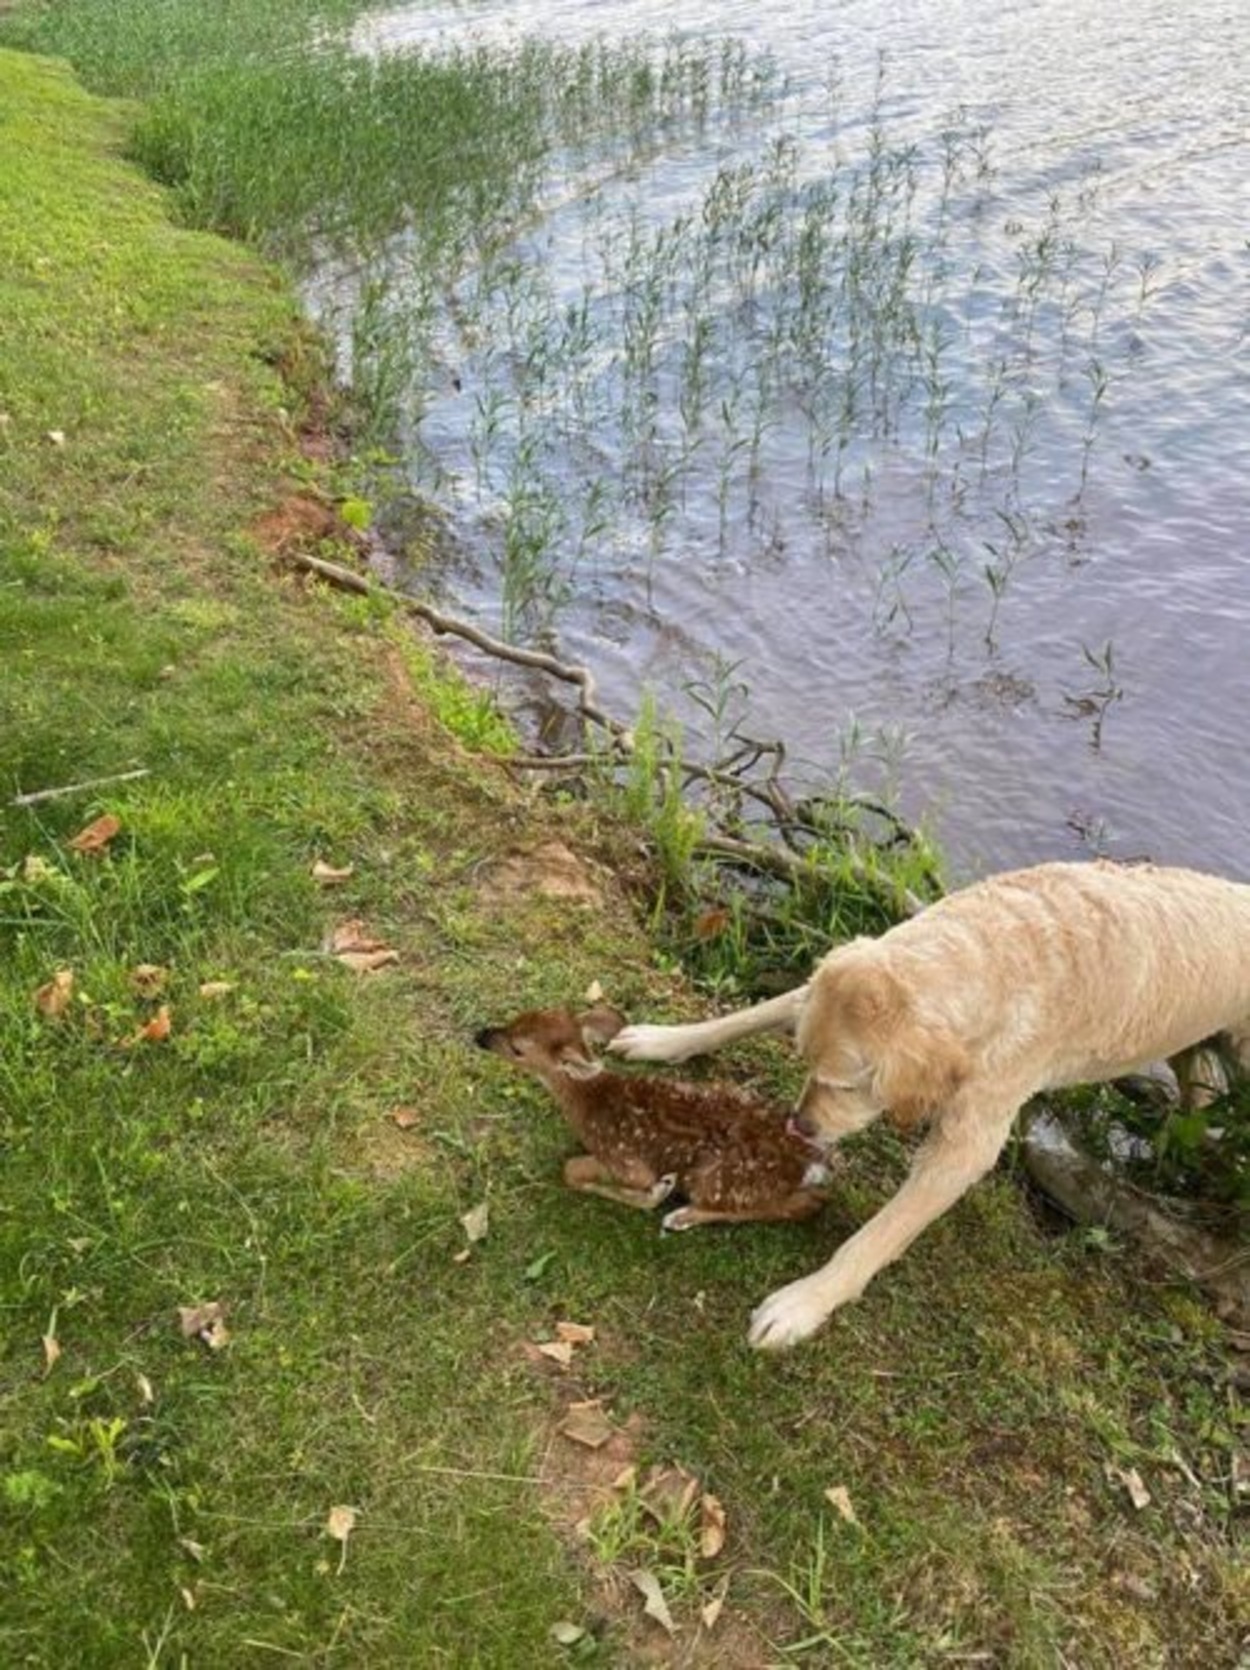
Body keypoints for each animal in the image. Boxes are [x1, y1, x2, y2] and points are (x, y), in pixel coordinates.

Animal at [610, 868, 1248, 1349]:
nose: (800, 1125)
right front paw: (662, 1039)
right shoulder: (824, 984)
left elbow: (877, 1236)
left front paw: (802, 1304)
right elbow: (748, 1014)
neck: (996, 954)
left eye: (847, 1087)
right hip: (1196, 1048)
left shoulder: (967, 1141)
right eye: (805, 1062)